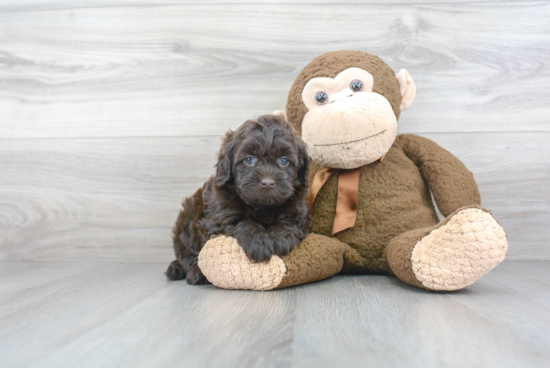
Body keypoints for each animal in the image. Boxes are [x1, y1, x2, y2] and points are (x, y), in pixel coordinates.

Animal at [166, 114, 312, 284]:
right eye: (249, 160)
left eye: (284, 161)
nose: (268, 182)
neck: (262, 207)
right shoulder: (217, 218)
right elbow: (239, 221)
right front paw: (259, 242)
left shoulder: (301, 212)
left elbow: (292, 221)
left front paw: (282, 237)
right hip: (187, 219)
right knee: (187, 254)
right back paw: (195, 272)